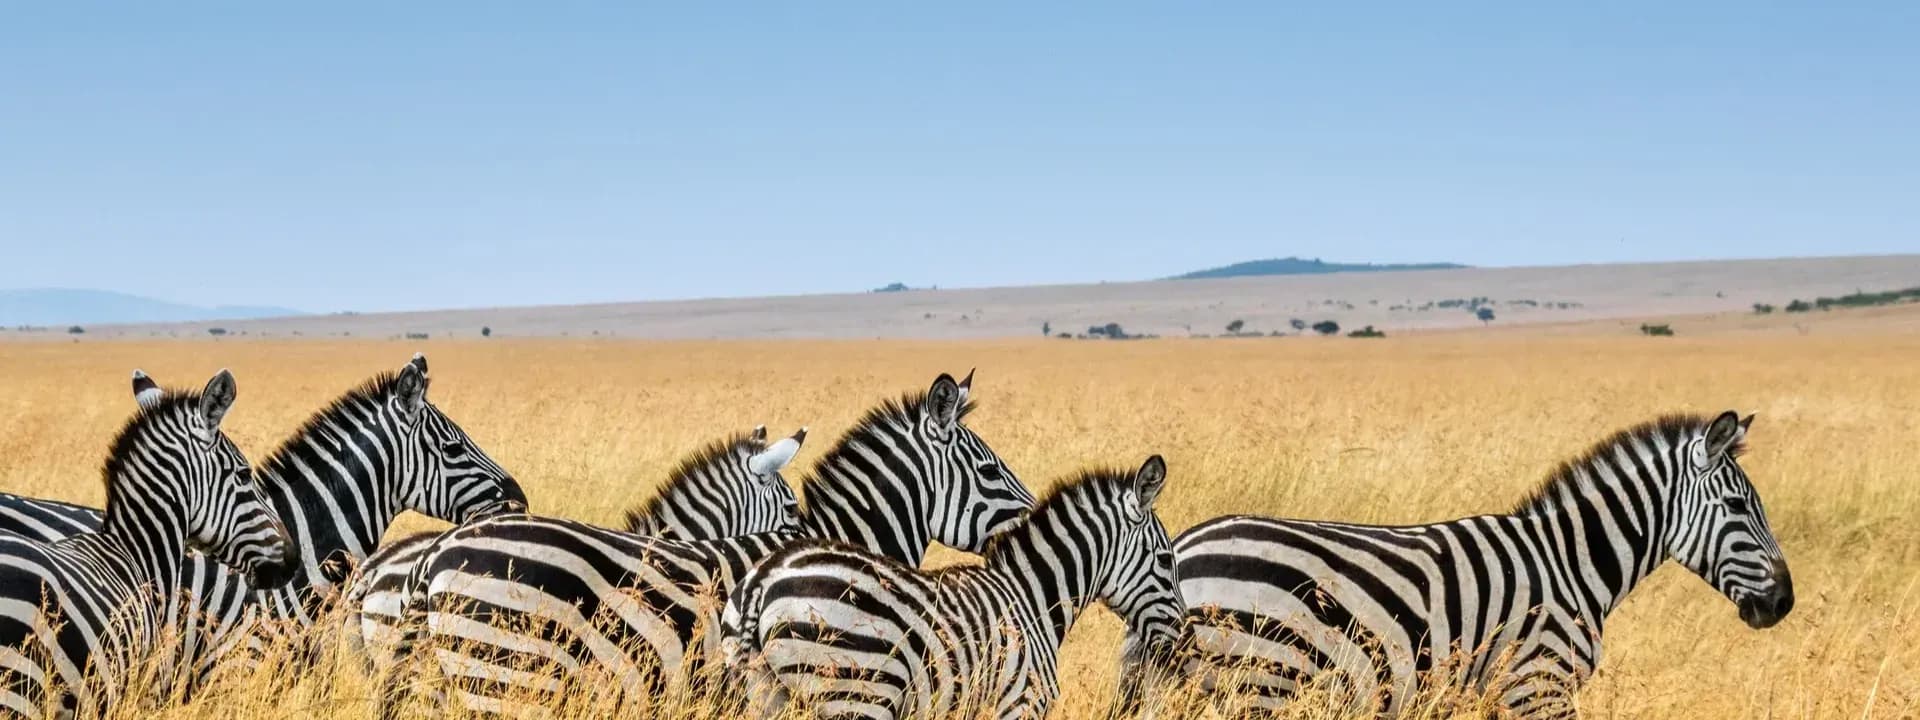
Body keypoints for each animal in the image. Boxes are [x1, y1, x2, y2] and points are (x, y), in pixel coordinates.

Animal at [719, 454, 1183, 720]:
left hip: (767, 694)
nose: (1182, 637)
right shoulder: (1020, 702)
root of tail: (764, 578)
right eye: (1166, 559)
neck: (1034, 601)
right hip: (854, 692)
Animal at [1158, 411, 1793, 718]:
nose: (1784, 603)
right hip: (1264, 681)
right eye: (1740, 507)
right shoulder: (1538, 687)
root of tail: (1182, 546)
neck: (1571, 564)